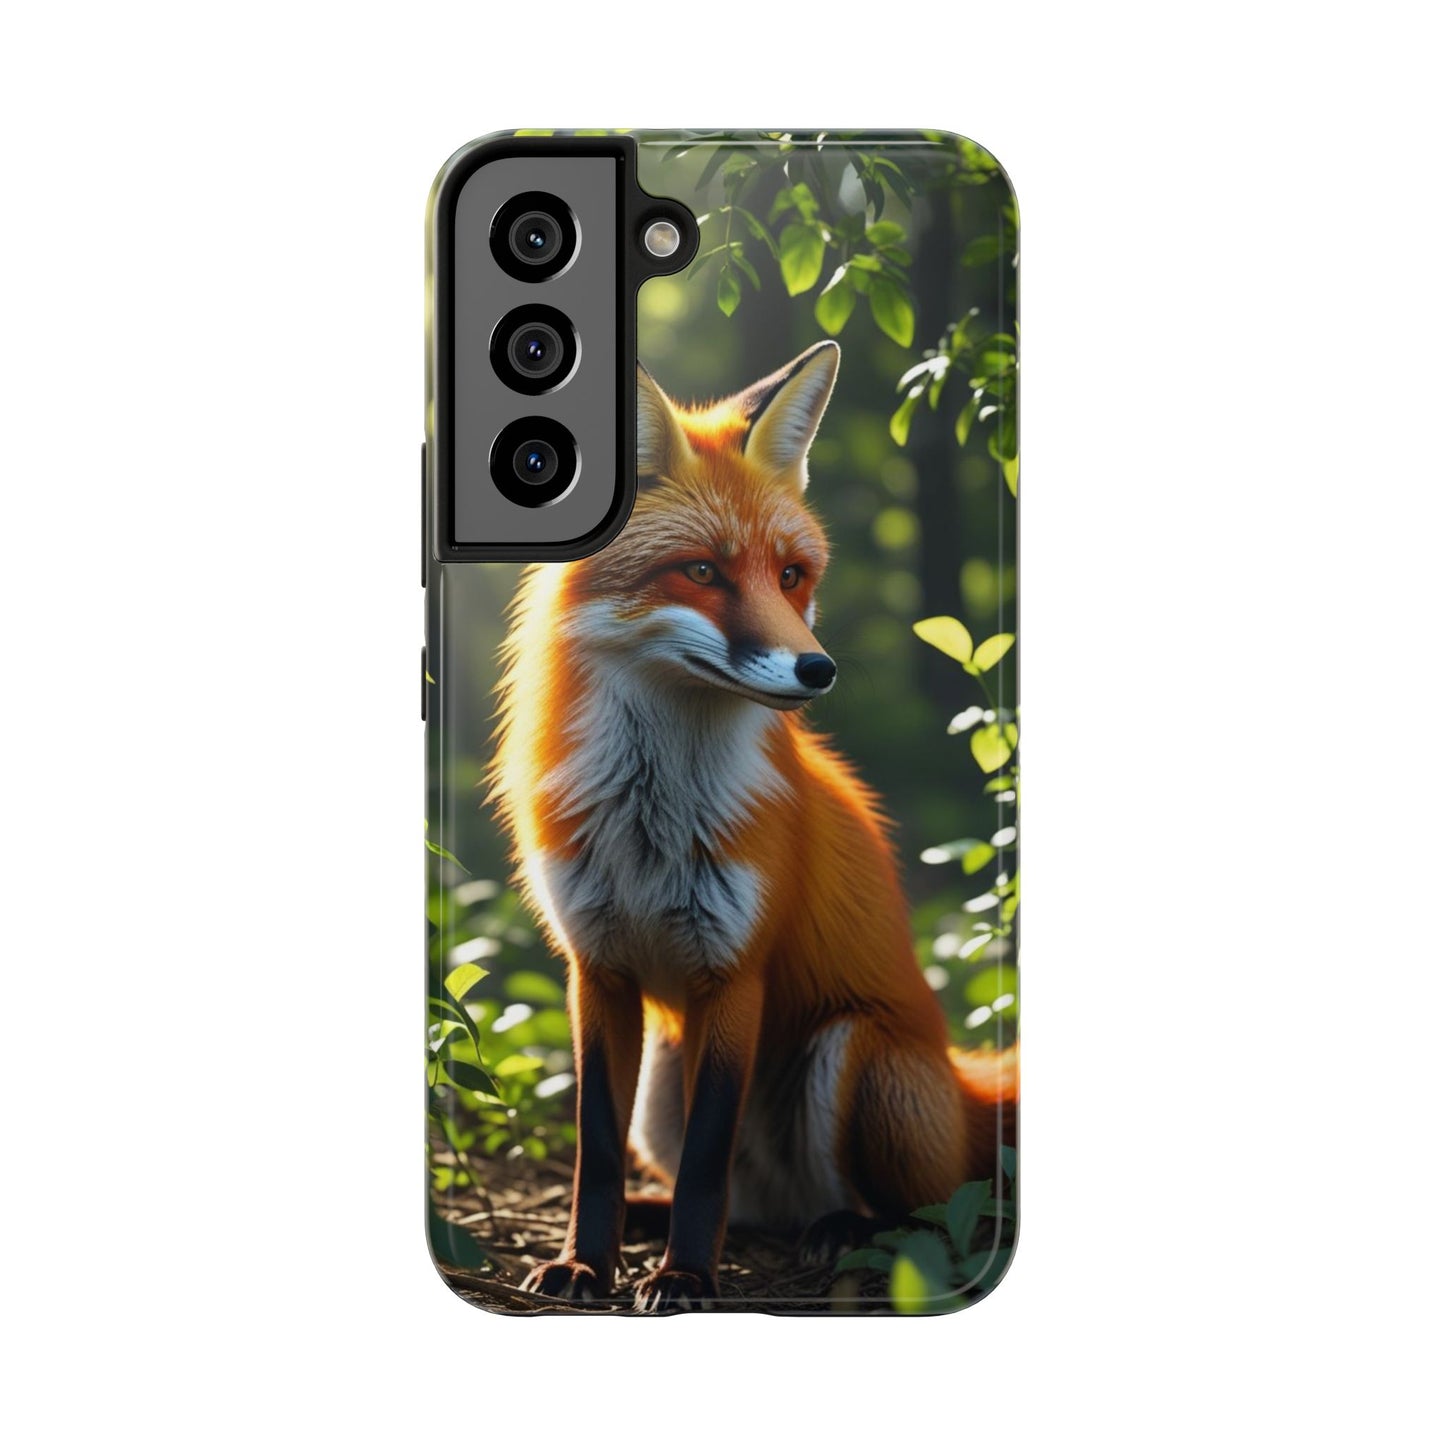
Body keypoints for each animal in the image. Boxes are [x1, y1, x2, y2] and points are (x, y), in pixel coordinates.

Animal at [490, 340, 1018, 1310]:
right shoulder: (597, 968)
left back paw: (838, 1229)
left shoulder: (734, 971)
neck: (650, 822)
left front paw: (686, 1277)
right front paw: (586, 1261)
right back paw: (666, 1218)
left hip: (855, 1055)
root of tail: (964, 1084)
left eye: (790, 576)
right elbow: (595, 1148)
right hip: (663, 1079)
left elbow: (707, 1159)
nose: (818, 669)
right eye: (700, 570)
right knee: (742, 1202)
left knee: (918, 1214)